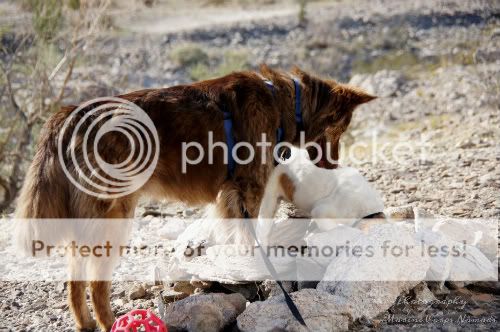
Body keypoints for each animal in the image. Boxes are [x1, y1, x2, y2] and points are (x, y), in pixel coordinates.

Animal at [14, 65, 376, 332]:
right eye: (342, 129)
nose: (334, 164)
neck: (285, 100)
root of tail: (66, 115)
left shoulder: (229, 197)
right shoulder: (249, 189)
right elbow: (253, 237)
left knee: (74, 279)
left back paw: (86, 323)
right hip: (115, 217)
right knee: (95, 283)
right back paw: (109, 321)